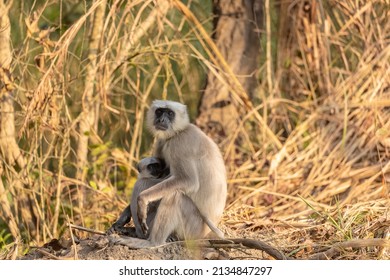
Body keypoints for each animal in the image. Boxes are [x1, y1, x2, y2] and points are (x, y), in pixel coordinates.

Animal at [109, 99, 225, 248]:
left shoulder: (181, 143)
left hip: (192, 230)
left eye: (170, 113)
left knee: (174, 195)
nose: (162, 119)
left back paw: (152, 242)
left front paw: (142, 199)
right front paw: (120, 220)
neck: (179, 132)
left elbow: (187, 181)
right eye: (159, 111)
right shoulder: (162, 141)